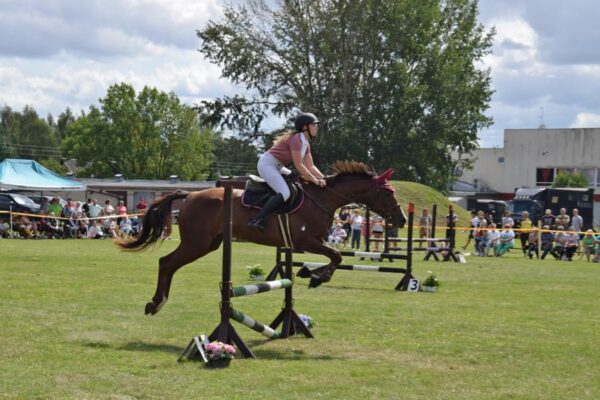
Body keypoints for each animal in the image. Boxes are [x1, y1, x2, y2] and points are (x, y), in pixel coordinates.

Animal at [117, 161, 408, 314]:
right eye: (388, 193)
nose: (403, 220)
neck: (322, 199)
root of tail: (189, 195)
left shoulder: (306, 244)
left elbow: (334, 257)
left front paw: (307, 274)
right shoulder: (305, 242)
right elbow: (336, 256)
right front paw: (316, 277)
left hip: (208, 244)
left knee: (170, 264)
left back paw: (158, 302)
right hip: (196, 243)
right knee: (166, 263)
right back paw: (155, 303)